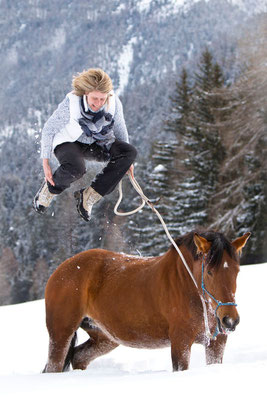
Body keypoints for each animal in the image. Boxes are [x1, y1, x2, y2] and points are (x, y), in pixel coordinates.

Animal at [43, 230, 251, 374]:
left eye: (237, 271)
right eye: (209, 272)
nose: (229, 320)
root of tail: (61, 270)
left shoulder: (217, 343)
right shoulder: (181, 341)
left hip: (104, 336)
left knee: (79, 358)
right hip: (61, 333)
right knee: (55, 365)